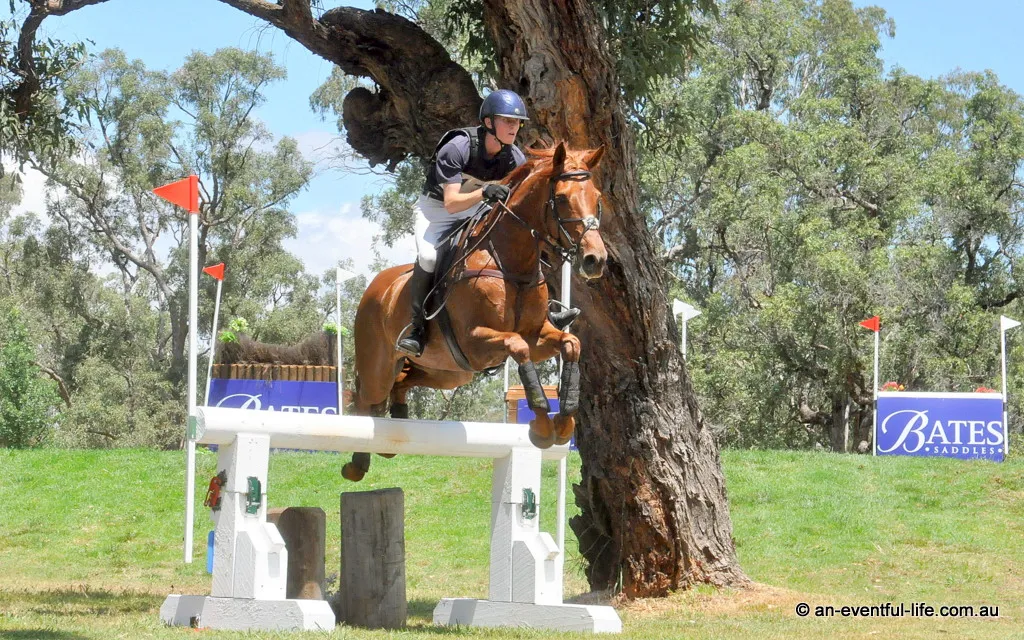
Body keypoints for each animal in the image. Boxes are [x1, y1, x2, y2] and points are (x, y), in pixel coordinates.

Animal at [342, 142, 607, 481]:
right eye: (561, 198)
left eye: (597, 198)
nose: (595, 260)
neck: (510, 263)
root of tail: (376, 288)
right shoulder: (475, 342)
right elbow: (517, 347)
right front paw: (542, 426)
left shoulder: (536, 336)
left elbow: (571, 343)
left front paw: (564, 422)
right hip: (379, 365)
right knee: (366, 401)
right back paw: (356, 464)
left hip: (449, 372)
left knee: (402, 382)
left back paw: (395, 431)